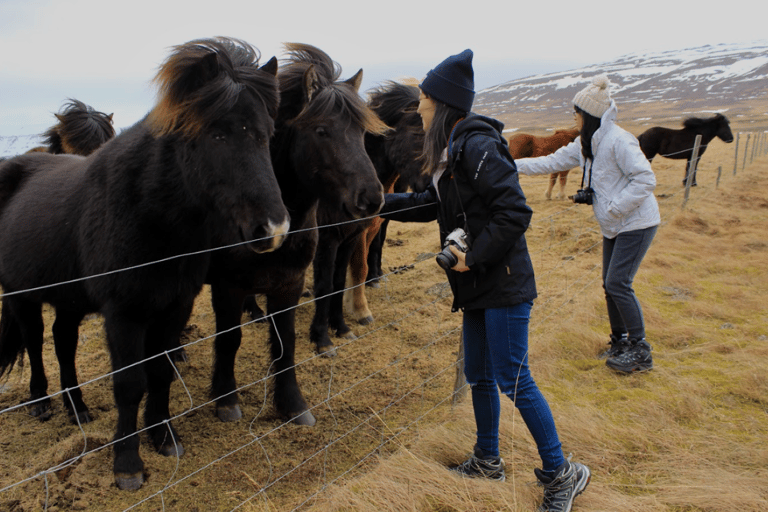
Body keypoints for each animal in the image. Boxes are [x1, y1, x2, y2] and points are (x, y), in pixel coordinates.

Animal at [0, 38, 290, 490]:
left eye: (266, 135)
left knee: (63, 342)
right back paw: (41, 403)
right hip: (21, 295)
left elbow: (160, 372)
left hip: (68, 300)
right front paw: (127, 464)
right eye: (217, 132)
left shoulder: (174, 307)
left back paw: (78, 409)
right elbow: (129, 384)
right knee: (34, 341)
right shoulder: (125, 315)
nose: (273, 229)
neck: (147, 213)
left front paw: (165, 436)